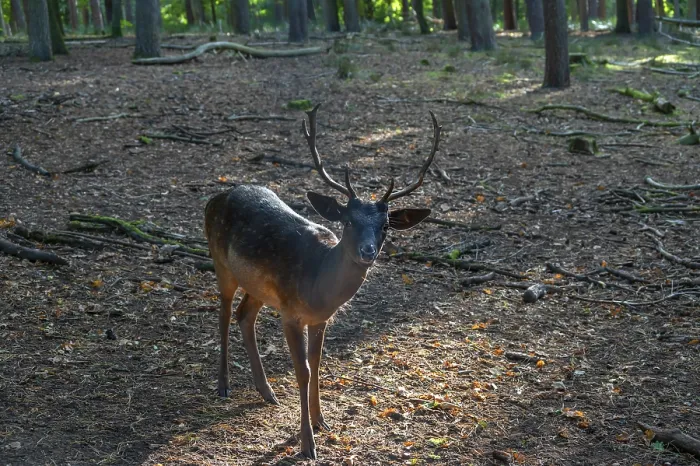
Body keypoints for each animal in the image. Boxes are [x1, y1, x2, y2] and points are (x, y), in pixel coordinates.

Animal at [204, 104, 441, 459]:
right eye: (348, 221)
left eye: (385, 225)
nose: (367, 251)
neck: (318, 288)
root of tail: (216, 197)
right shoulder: (291, 313)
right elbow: (301, 370)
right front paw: (307, 443)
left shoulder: (320, 319)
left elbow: (316, 365)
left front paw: (321, 421)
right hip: (221, 263)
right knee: (223, 313)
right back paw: (223, 385)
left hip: (259, 286)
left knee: (245, 316)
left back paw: (266, 391)